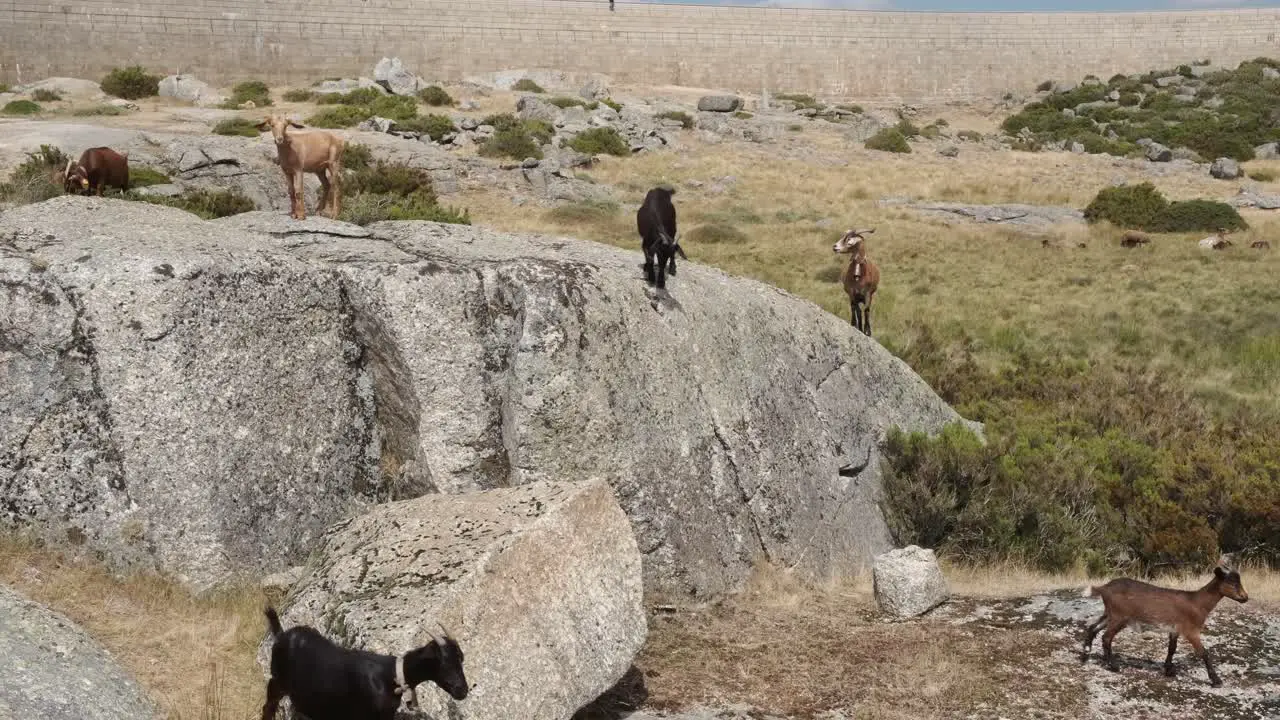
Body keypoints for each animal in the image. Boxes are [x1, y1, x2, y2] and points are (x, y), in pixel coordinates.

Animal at [259, 604, 471, 717]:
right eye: (443, 661)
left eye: (461, 658)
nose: (462, 690)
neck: (392, 676)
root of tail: (281, 635)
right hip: (277, 680)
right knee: (268, 705)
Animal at [1080, 563, 1249, 686]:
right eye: (1232, 582)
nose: (1245, 598)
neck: (1197, 602)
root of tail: (1104, 588)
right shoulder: (1191, 631)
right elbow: (1204, 653)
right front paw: (1216, 680)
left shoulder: (1175, 629)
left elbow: (1172, 649)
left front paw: (1168, 670)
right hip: (1120, 617)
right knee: (1106, 637)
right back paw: (1113, 666)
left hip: (1110, 614)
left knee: (1093, 628)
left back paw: (1085, 654)